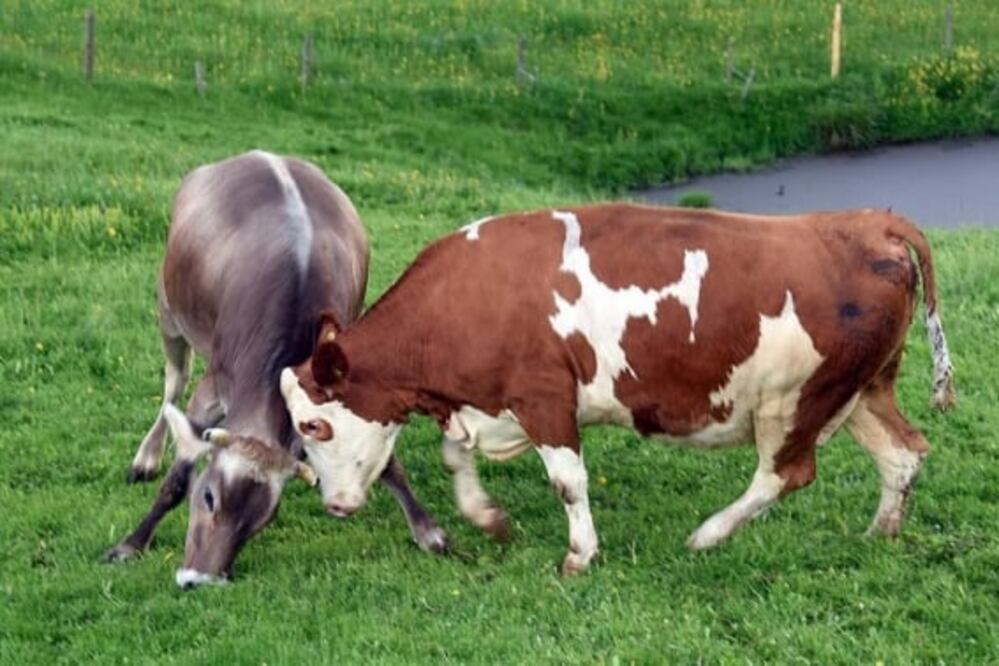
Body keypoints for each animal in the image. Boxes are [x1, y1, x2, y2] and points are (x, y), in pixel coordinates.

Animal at [105, 150, 447, 587]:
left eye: (263, 520)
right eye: (209, 497)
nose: (199, 579)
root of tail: (259, 154)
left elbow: (386, 461)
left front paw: (428, 529)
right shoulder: (214, 385)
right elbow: (178, 474)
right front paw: (132, 543)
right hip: (169, 311)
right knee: (173, 384)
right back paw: (146, 457)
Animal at [279, 204, 956, 576]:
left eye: (315, 425)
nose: (333, 505)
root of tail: (870, 223)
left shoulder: (545, 396)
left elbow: (568, 482)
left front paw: (580, 554)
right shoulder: (482, 402)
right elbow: (454, 456)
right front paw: (486, 516)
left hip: (796, 401)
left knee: (785, 474)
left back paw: (708, 535)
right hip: (863, 389)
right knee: (904, 452)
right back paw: (881, 532)